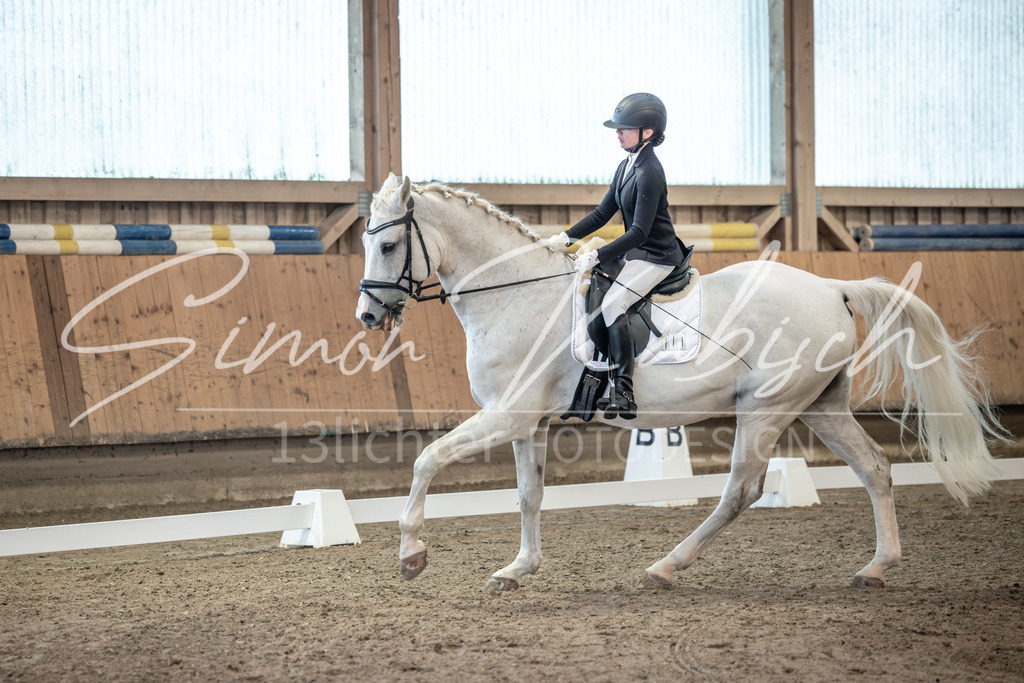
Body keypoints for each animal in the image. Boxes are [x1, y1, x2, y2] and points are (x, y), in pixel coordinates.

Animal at [355, 173, 1006, 591]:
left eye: (387, 244)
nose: (367, 316)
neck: (516, 293)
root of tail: (831, 287)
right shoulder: (527, 422)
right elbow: (528, 494)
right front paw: (518, 570)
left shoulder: (505, 415)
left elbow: (427, 461)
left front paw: (412, 554)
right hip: (820, 405)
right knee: (874, 467)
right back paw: (877, 567)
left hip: (766, 409)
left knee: (741, 490)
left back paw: (666, 566)